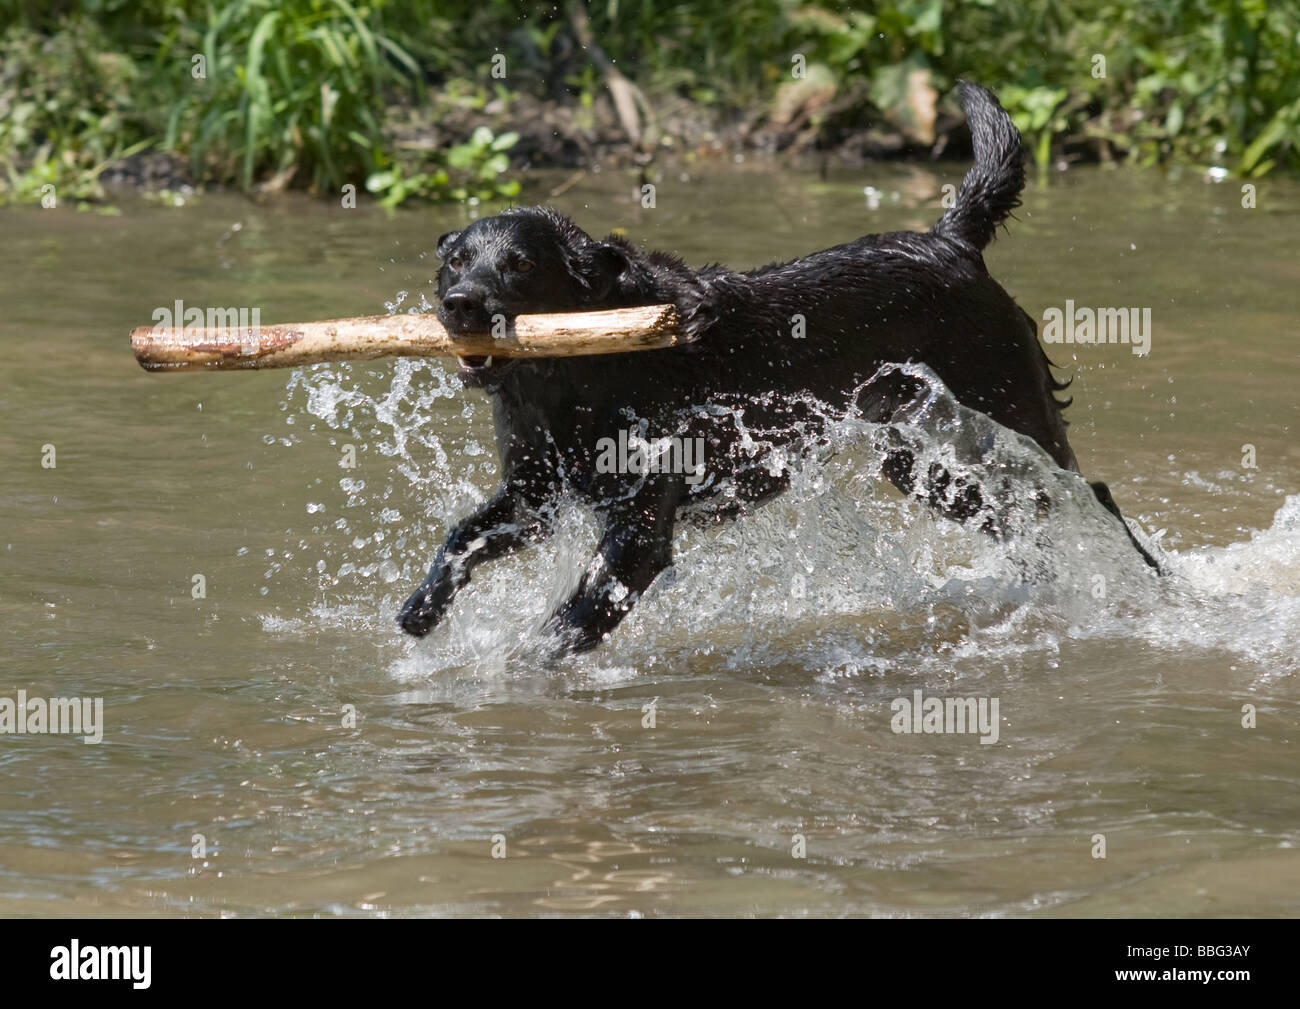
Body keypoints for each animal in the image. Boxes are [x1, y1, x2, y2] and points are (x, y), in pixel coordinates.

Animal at [397, 84, 1159, 655]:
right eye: (456, 260)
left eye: (521, 266)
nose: (458, 305)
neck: (575, 380)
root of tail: (951, 242)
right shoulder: (536, 495)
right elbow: (461, 538)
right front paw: (421, 608)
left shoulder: (640, 528)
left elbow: (569, 623)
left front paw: (511, 672)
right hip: (920, 463)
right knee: (1023, 519)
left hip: (1007, 415)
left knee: (1089, 494)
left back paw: (1148, 588)